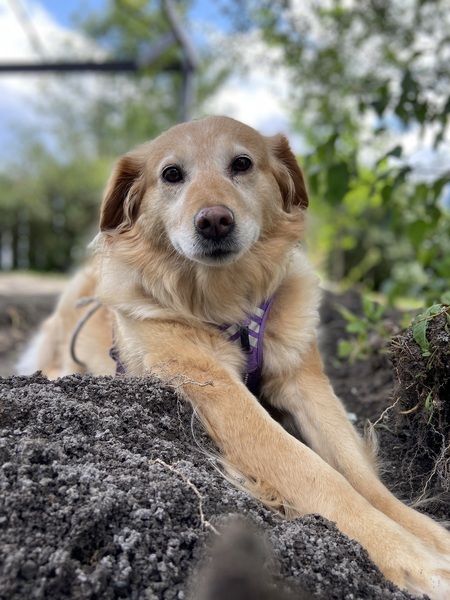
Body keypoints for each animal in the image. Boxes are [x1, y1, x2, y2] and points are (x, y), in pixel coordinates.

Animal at [18, 116, 450, 596]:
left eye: (241, 164)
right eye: (171, 174)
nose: (214, 221)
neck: (226, 301)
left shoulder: (305, 383)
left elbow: (360, 475)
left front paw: (429, 536)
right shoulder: (217, 389)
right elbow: (315, 472)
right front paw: (413, 559)